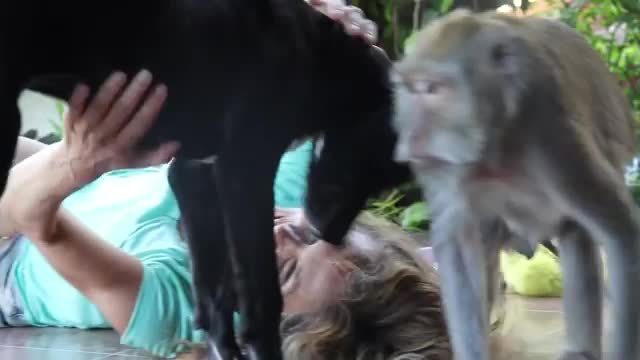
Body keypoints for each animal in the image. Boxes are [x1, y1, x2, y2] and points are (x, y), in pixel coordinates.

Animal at [390, 8, 640, 360]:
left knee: (577, 236)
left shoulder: (551, 128)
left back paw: (580, 350)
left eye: (433, 89)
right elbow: (457, 246)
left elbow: (620, 233)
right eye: (409, 89)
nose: (411, 137)